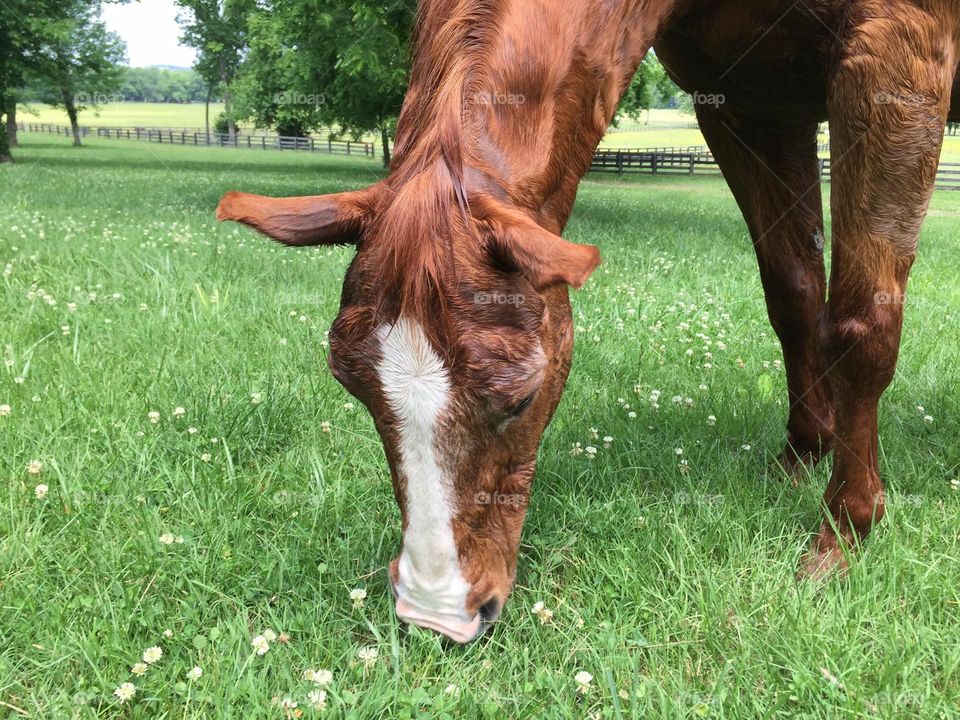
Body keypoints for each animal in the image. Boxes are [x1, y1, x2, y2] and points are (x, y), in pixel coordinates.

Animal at [218, 0, 960, 640]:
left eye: (520, 398)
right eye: (353, 384)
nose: (437, 613)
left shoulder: (897, 55)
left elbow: (861, 324)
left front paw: (845, 531)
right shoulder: (749, 104)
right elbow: (794, 294)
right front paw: (803, 454)